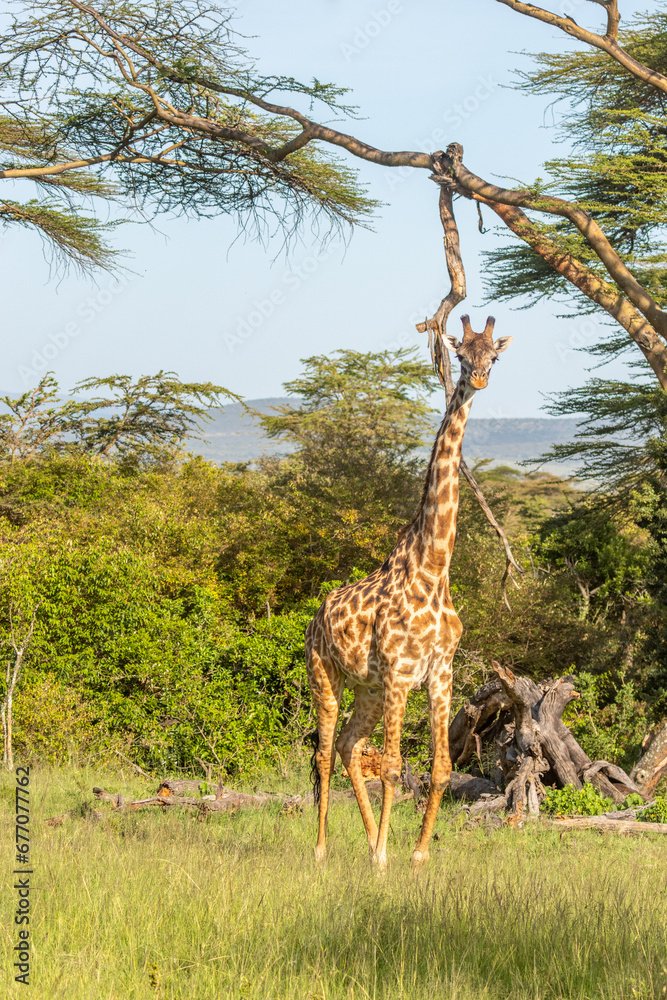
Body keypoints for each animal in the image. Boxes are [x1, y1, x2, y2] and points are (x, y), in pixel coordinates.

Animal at [305, 314, 512, 870]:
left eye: (494, 356)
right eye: (460, 353)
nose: (478, 379)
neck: (433, 570)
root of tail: (313, 619)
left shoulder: (439, 674)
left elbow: (439, 768)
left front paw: (415, 854)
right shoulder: (401, 675)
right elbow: (396, 768)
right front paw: (384, 858)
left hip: (368, 689)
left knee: (349, 746)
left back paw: (368, 841)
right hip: (327, 676)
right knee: (324, 751)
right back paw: (323, 849)